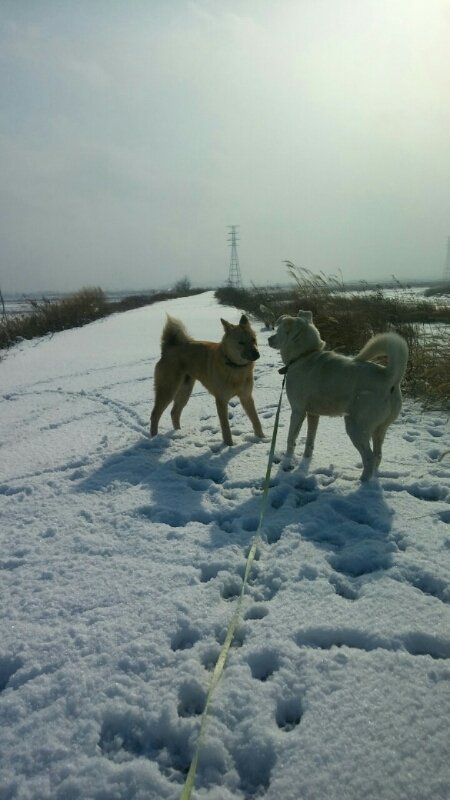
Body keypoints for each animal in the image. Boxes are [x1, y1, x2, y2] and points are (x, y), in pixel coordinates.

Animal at [150, 314, 264, 446]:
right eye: (241, 342)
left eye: (253, 339)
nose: (257, 354)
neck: (235, 367)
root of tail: (168, 348)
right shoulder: (221, 400)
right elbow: (226, 427)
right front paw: (229, 445)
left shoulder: (246, 397)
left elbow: (256, 420)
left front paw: (262, 439)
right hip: (168, 390)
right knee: (155, 414)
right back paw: (153, 439)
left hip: (185, 391)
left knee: (174, 412)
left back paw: (178, 433)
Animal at [268, 310, 408, 480]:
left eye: (278, 330)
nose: (268, 339)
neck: (305, 355)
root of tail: (390, 377)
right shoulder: (313, 414)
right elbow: (310, 440)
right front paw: (306, 461)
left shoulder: (298, 411)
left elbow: (291, 439)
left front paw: (287, 461)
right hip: (379, 430)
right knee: (378, 455)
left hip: (355, 427)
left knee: (369, 458)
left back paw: (362, 482)